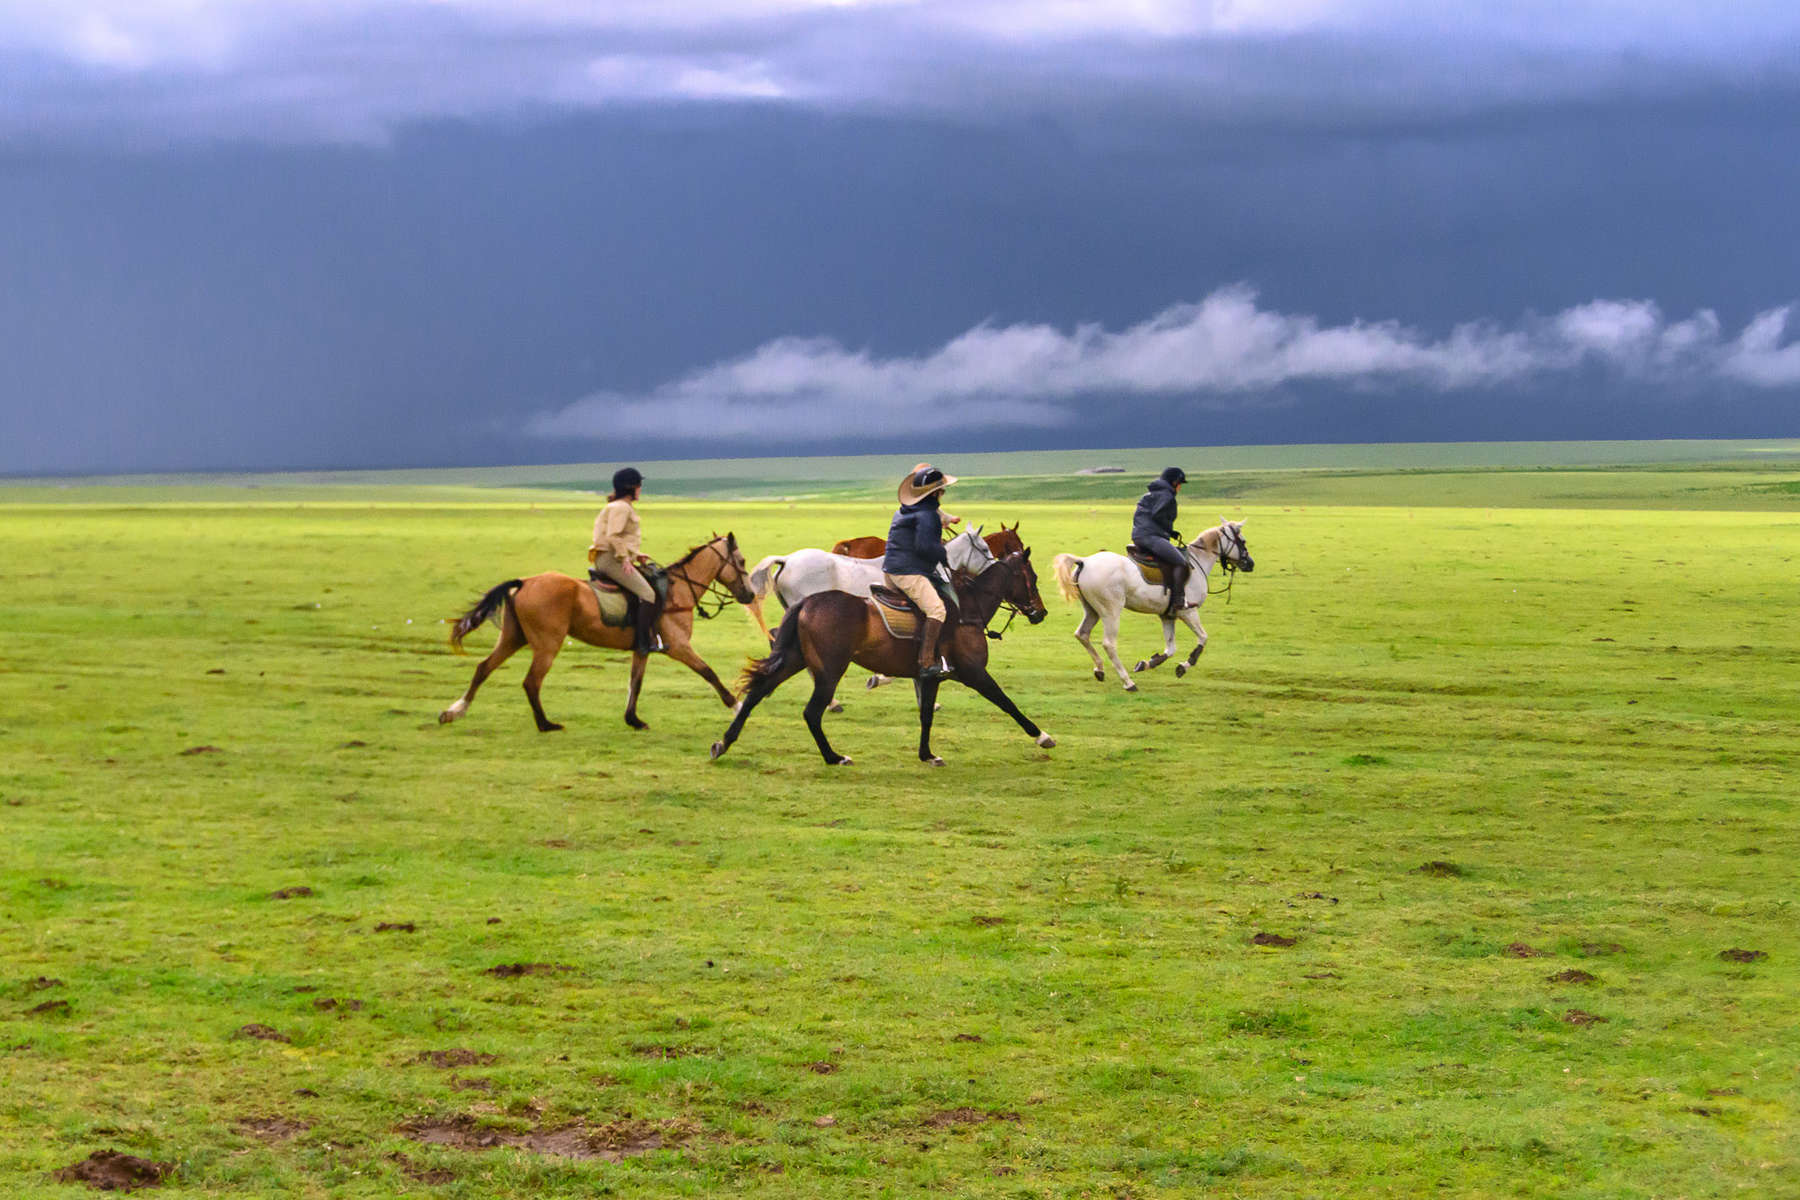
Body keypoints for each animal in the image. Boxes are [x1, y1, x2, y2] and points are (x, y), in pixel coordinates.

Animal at [439, 532, 756, 734]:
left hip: (513, 638)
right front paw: (737, 706)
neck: (678, 592)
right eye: (741, 562)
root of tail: (525, 582)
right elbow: (709, 673)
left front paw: (633, 720)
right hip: (547, 644)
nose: (750, 595)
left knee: (483, 668)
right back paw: (546, 725)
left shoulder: (642, 649)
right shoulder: (678, 647)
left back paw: (455, 711)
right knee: (531, 682)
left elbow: (635, 684)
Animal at [709, 546, 1051, 766]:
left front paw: (927, 754)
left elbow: (926, 714)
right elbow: (1007, 703)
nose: (1041, 613)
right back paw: (834, 757)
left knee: (757, 694)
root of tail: (807, 603)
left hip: (795, 659)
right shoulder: (974, 673)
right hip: (830, 670)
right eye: (1032, 577)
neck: (969, 609)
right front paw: (1042, 736)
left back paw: (723, 743)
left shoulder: (930, 678)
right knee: (811, 712)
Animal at [1051, 518, 1252, 694]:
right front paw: (1183, 666)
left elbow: (1170, 649)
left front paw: (1147, 663)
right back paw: (1128, 682)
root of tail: (1085, 561)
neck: (1198, 562)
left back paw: (1099, 669)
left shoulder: (1167, 616)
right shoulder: (1188, 611)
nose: (1250, 564)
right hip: (1111, 611)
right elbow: (1203, 638)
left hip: (1092, 610)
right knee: (1109, 644)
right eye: (1242, 541)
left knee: (1082, 634)